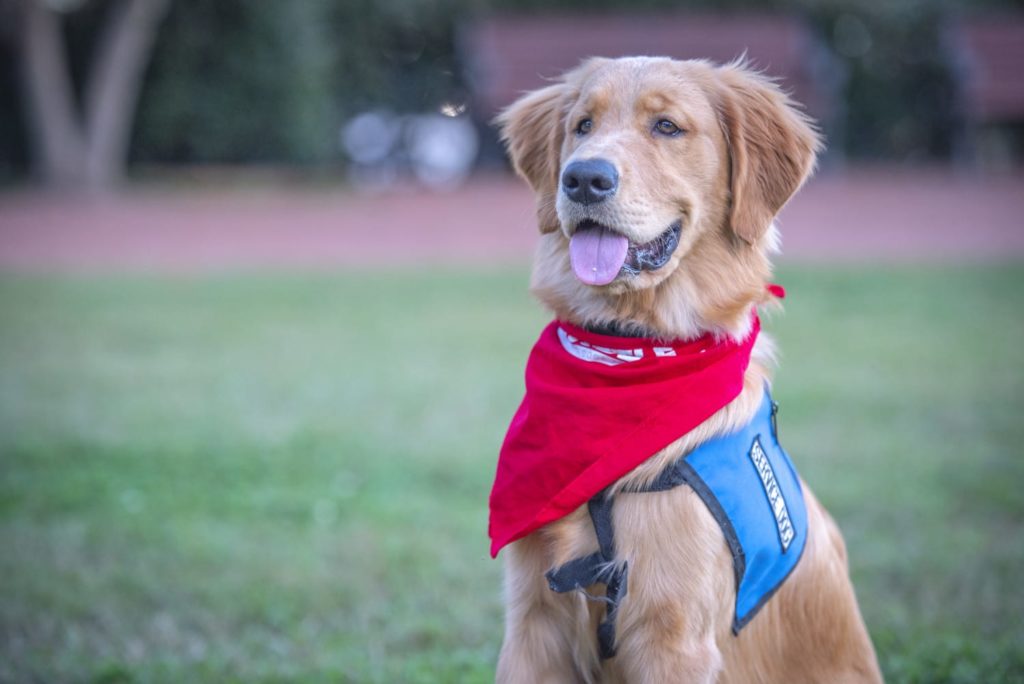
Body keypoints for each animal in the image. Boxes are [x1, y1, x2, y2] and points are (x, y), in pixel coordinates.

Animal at [491, 58, 884, 684]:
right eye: (583, 125)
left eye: (668, 127)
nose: (583, 179)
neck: (629, 350)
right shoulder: (532, 624)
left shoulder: (674, 639)